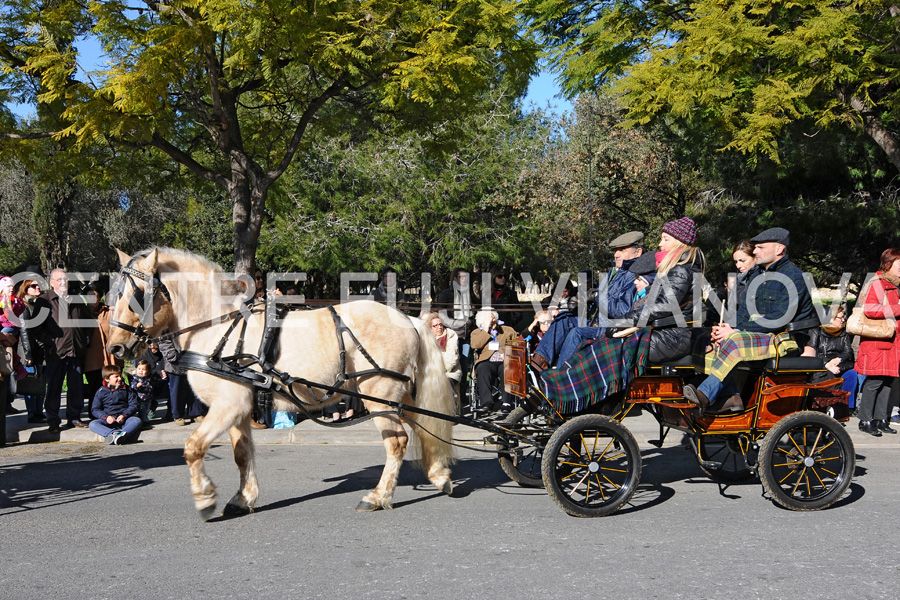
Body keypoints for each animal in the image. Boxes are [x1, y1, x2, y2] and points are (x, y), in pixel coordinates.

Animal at [105, 248, 458, 520]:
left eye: (136, 296)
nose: (116, 348)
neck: (217, 328)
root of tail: (408, 318)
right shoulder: (239, 408)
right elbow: (241, 453)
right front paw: (242, 499)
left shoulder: (226, 405)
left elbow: (193, 447)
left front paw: (205, 498)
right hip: (401, 395)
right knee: (424, 429)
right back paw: (439, 476)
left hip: (379, 394)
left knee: (397, 442)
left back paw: (377, 496)